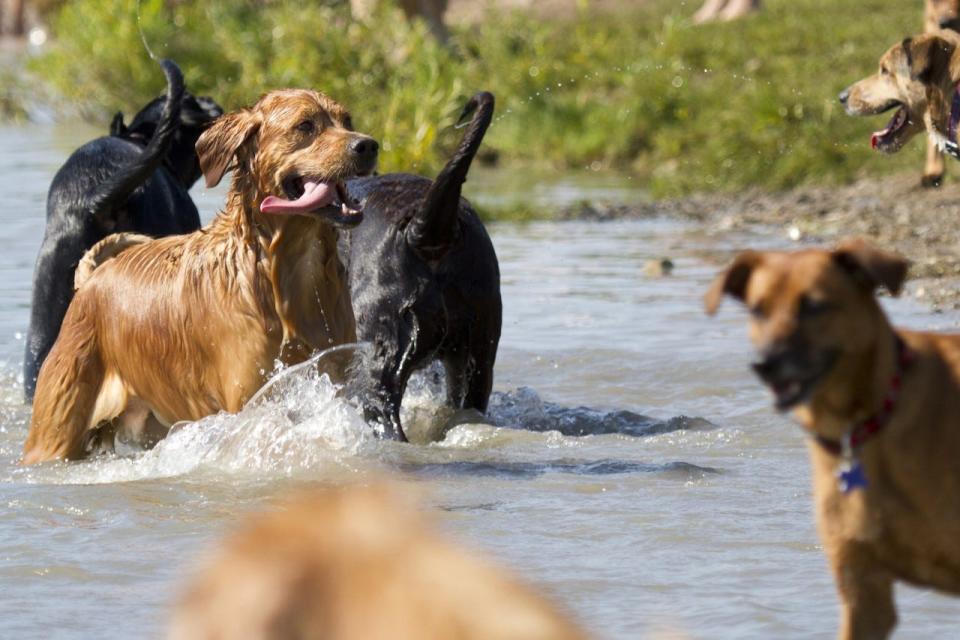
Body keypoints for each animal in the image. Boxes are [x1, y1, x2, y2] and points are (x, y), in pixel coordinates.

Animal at [22, 87, 376, 462]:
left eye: (347, 120)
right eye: (305, 126)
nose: (368, 146)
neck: (282, 270)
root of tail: (91, 278)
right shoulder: (251, 397)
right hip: (55, 426)